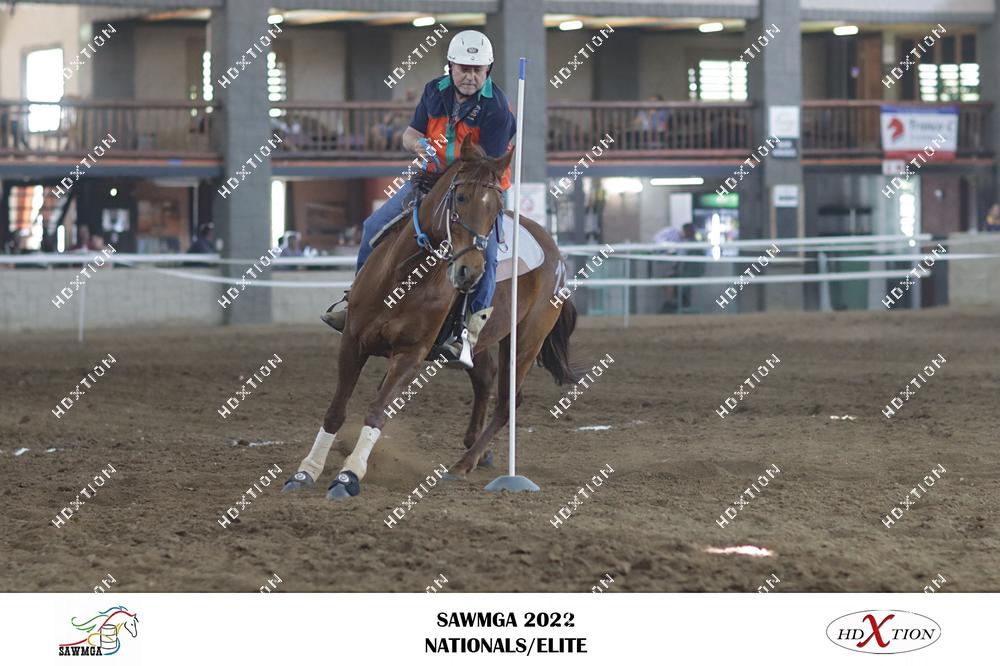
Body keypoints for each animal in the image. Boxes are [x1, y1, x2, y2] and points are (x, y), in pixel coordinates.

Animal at [282, 133, 579, 500]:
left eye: (495, 208)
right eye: (461, 197)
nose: (470, 271)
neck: (405, 276)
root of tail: (555, 253)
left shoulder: (411, 355)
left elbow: (378, 411)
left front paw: (348, 476)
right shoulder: (352, 341)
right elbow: (336, 410)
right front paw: (305, 471)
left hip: (525, 341)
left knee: (509, 400)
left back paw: (464, 463)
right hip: (481, 345)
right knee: (485, 380)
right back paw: (477, 450)